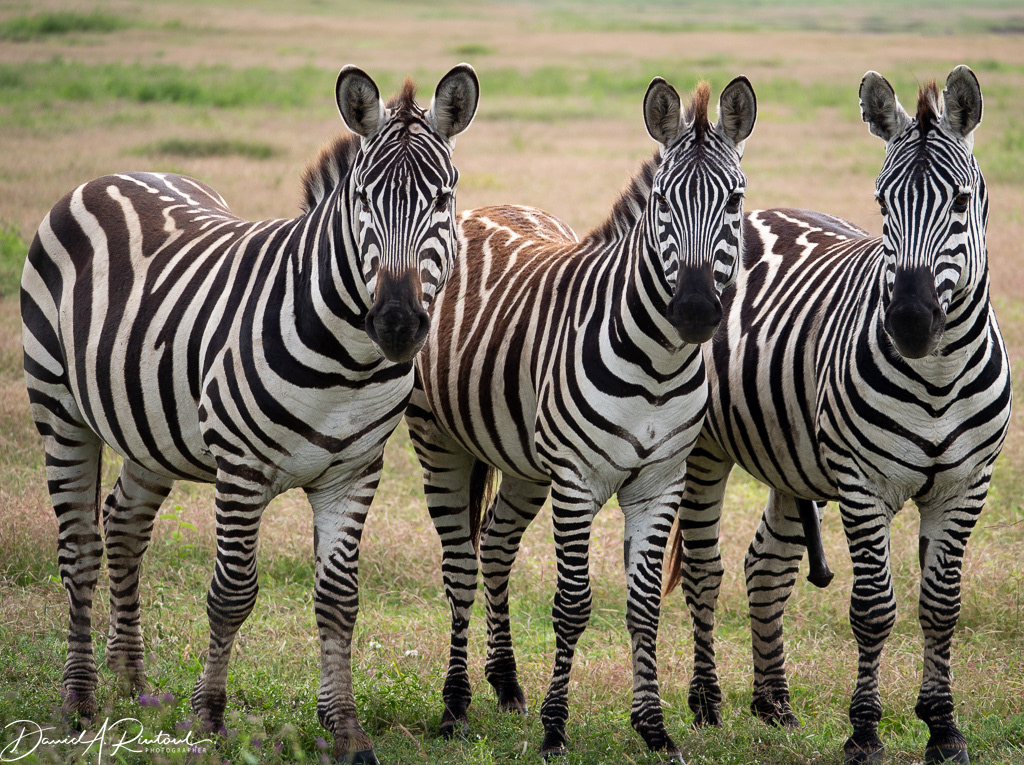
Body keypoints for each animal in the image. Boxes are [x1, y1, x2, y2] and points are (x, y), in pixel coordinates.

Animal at [21, 64, 479, 764]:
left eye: (444, 199)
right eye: (362, 199)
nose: (399, 324)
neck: (349, 364)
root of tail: (111, 176)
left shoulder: (355, 473)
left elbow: (339, 601)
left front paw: (346, 731)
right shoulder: (240, 466)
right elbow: (232, 594)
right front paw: (208, 720)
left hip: (148, 427)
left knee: (123, 524)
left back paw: (133, 684)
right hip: (59, 410)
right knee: (78, 549)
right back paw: (79, 702)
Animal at [406, 76, 758, 760]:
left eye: (734, 201)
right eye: (663, 203)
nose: (696, 312)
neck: (659, 365)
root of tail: (477, 209)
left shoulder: (660, 483)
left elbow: (644, 605)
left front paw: (654, 728)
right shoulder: (576, 480)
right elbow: (572, 605)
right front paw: (554, 729)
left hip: (520, 461)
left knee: (495, 547)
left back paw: (506, 684)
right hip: (439, 443)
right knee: (460, 566)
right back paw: (456, 704)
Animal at [663, 66, 1011, 765]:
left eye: (961, 202)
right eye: (882, 204)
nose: (910, 323)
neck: (938, 377)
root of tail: (758, 212)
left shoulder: (967, 486)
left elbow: (942, 607)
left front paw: (945, 730)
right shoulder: (861, 483)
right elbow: (874, 609)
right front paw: (865, 733)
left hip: (791, 460)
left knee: (765, 566)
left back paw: (774, 706)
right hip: (706, 452)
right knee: (707, 571)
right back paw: (708, 703)